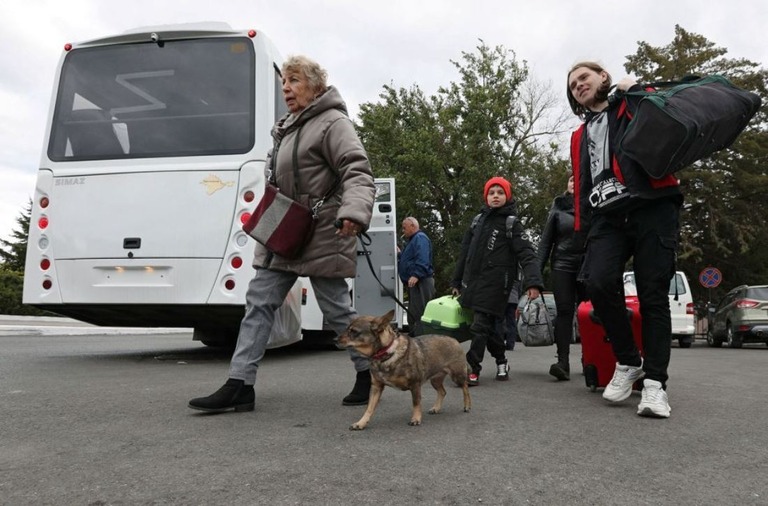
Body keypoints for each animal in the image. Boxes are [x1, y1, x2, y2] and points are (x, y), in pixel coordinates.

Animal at [338, 308, 472, 430]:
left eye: (353, 331)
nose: (335, 339)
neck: (386, 353)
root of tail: (454, 340)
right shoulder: (376, 387)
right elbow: (369, 408)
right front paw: (361, 423)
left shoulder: (415, 385)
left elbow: (416, 403)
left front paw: (416, 419)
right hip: (435, 380)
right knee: (442, 392)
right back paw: (436, 408)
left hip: (457, 376)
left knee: (465, 387)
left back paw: (467, 405)